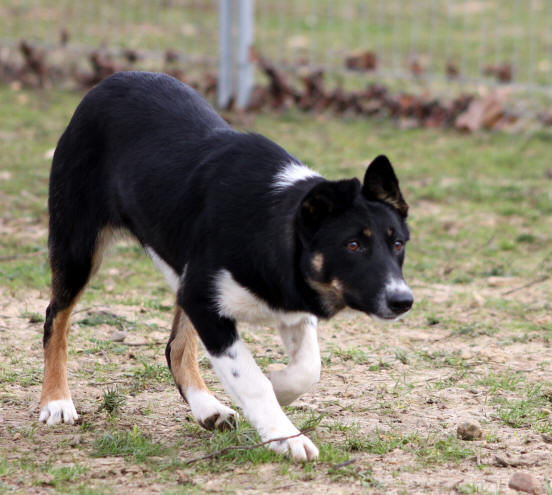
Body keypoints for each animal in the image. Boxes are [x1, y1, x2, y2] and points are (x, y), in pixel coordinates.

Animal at [38, 71, 412, 464]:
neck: (270, 224)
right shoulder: (205, 302)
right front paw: (286, 436)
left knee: (175, 347)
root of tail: (113, 79)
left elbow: (307, 368)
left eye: (398, 243)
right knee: (55, 320)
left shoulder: (286, 306)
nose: (403, 301)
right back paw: (56, 402)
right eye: (353, 245)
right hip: (79, 249)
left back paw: (207, 408)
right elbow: (252, 379)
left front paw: (280, 388)